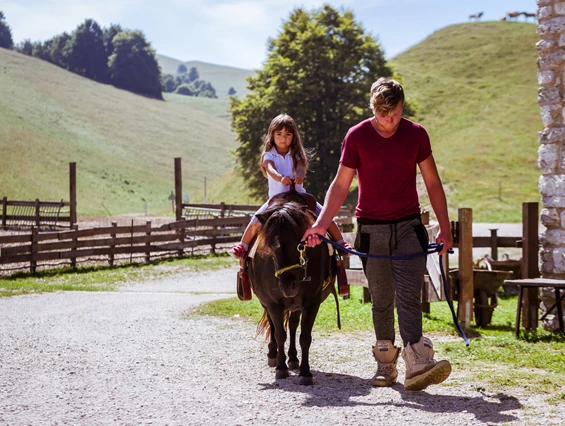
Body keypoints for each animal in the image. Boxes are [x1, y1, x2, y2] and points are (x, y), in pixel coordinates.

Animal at [249, 198, 338, 384]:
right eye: (270, 246)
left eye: (299, 245)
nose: (288, 285)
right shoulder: (273, 303)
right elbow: (279, 334)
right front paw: (280, 368)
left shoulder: (311, 302)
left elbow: (304, 336)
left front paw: (305, 371)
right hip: (268, 303)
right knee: (275, 327)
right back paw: (273, 355)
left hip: (296, 305)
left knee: (292, 325)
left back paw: (293, 358)